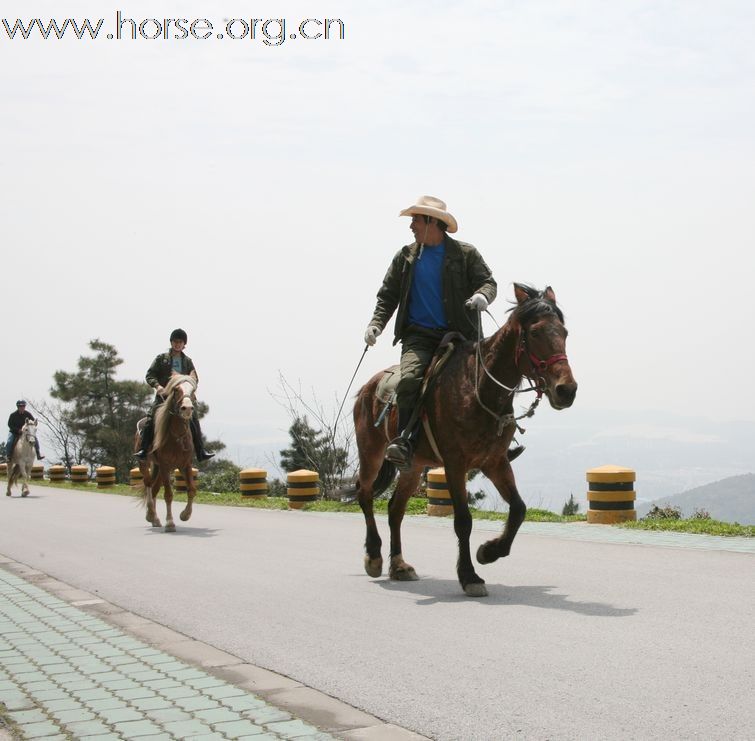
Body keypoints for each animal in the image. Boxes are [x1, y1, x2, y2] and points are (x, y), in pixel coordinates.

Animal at [135, 376, 198, 532]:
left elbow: (192, 490)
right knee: (148, 484)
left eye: (193, 390)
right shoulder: (165, 465)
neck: (177, 436)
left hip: (159, 468)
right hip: (145, 463)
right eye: (176, 389)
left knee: (155, 488)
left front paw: (185, 515)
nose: (187, 408)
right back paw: (151, 514)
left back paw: (155, 519)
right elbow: (168, 495)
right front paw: (170, 522)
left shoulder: (185, 465)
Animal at [354, 282, 580, 596]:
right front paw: (469, 575)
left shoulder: (495, 462)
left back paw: (399, 565)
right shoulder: (455, 464)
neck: (479, 390)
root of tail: (367, 387)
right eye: (535, 333)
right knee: (364, 495)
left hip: (413, 466)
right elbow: (463, 520)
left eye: (564, 333)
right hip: (371, 453)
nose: (566, 390)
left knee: (395, 510)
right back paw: (374, 556)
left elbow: (519, 509)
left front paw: (490, 551)